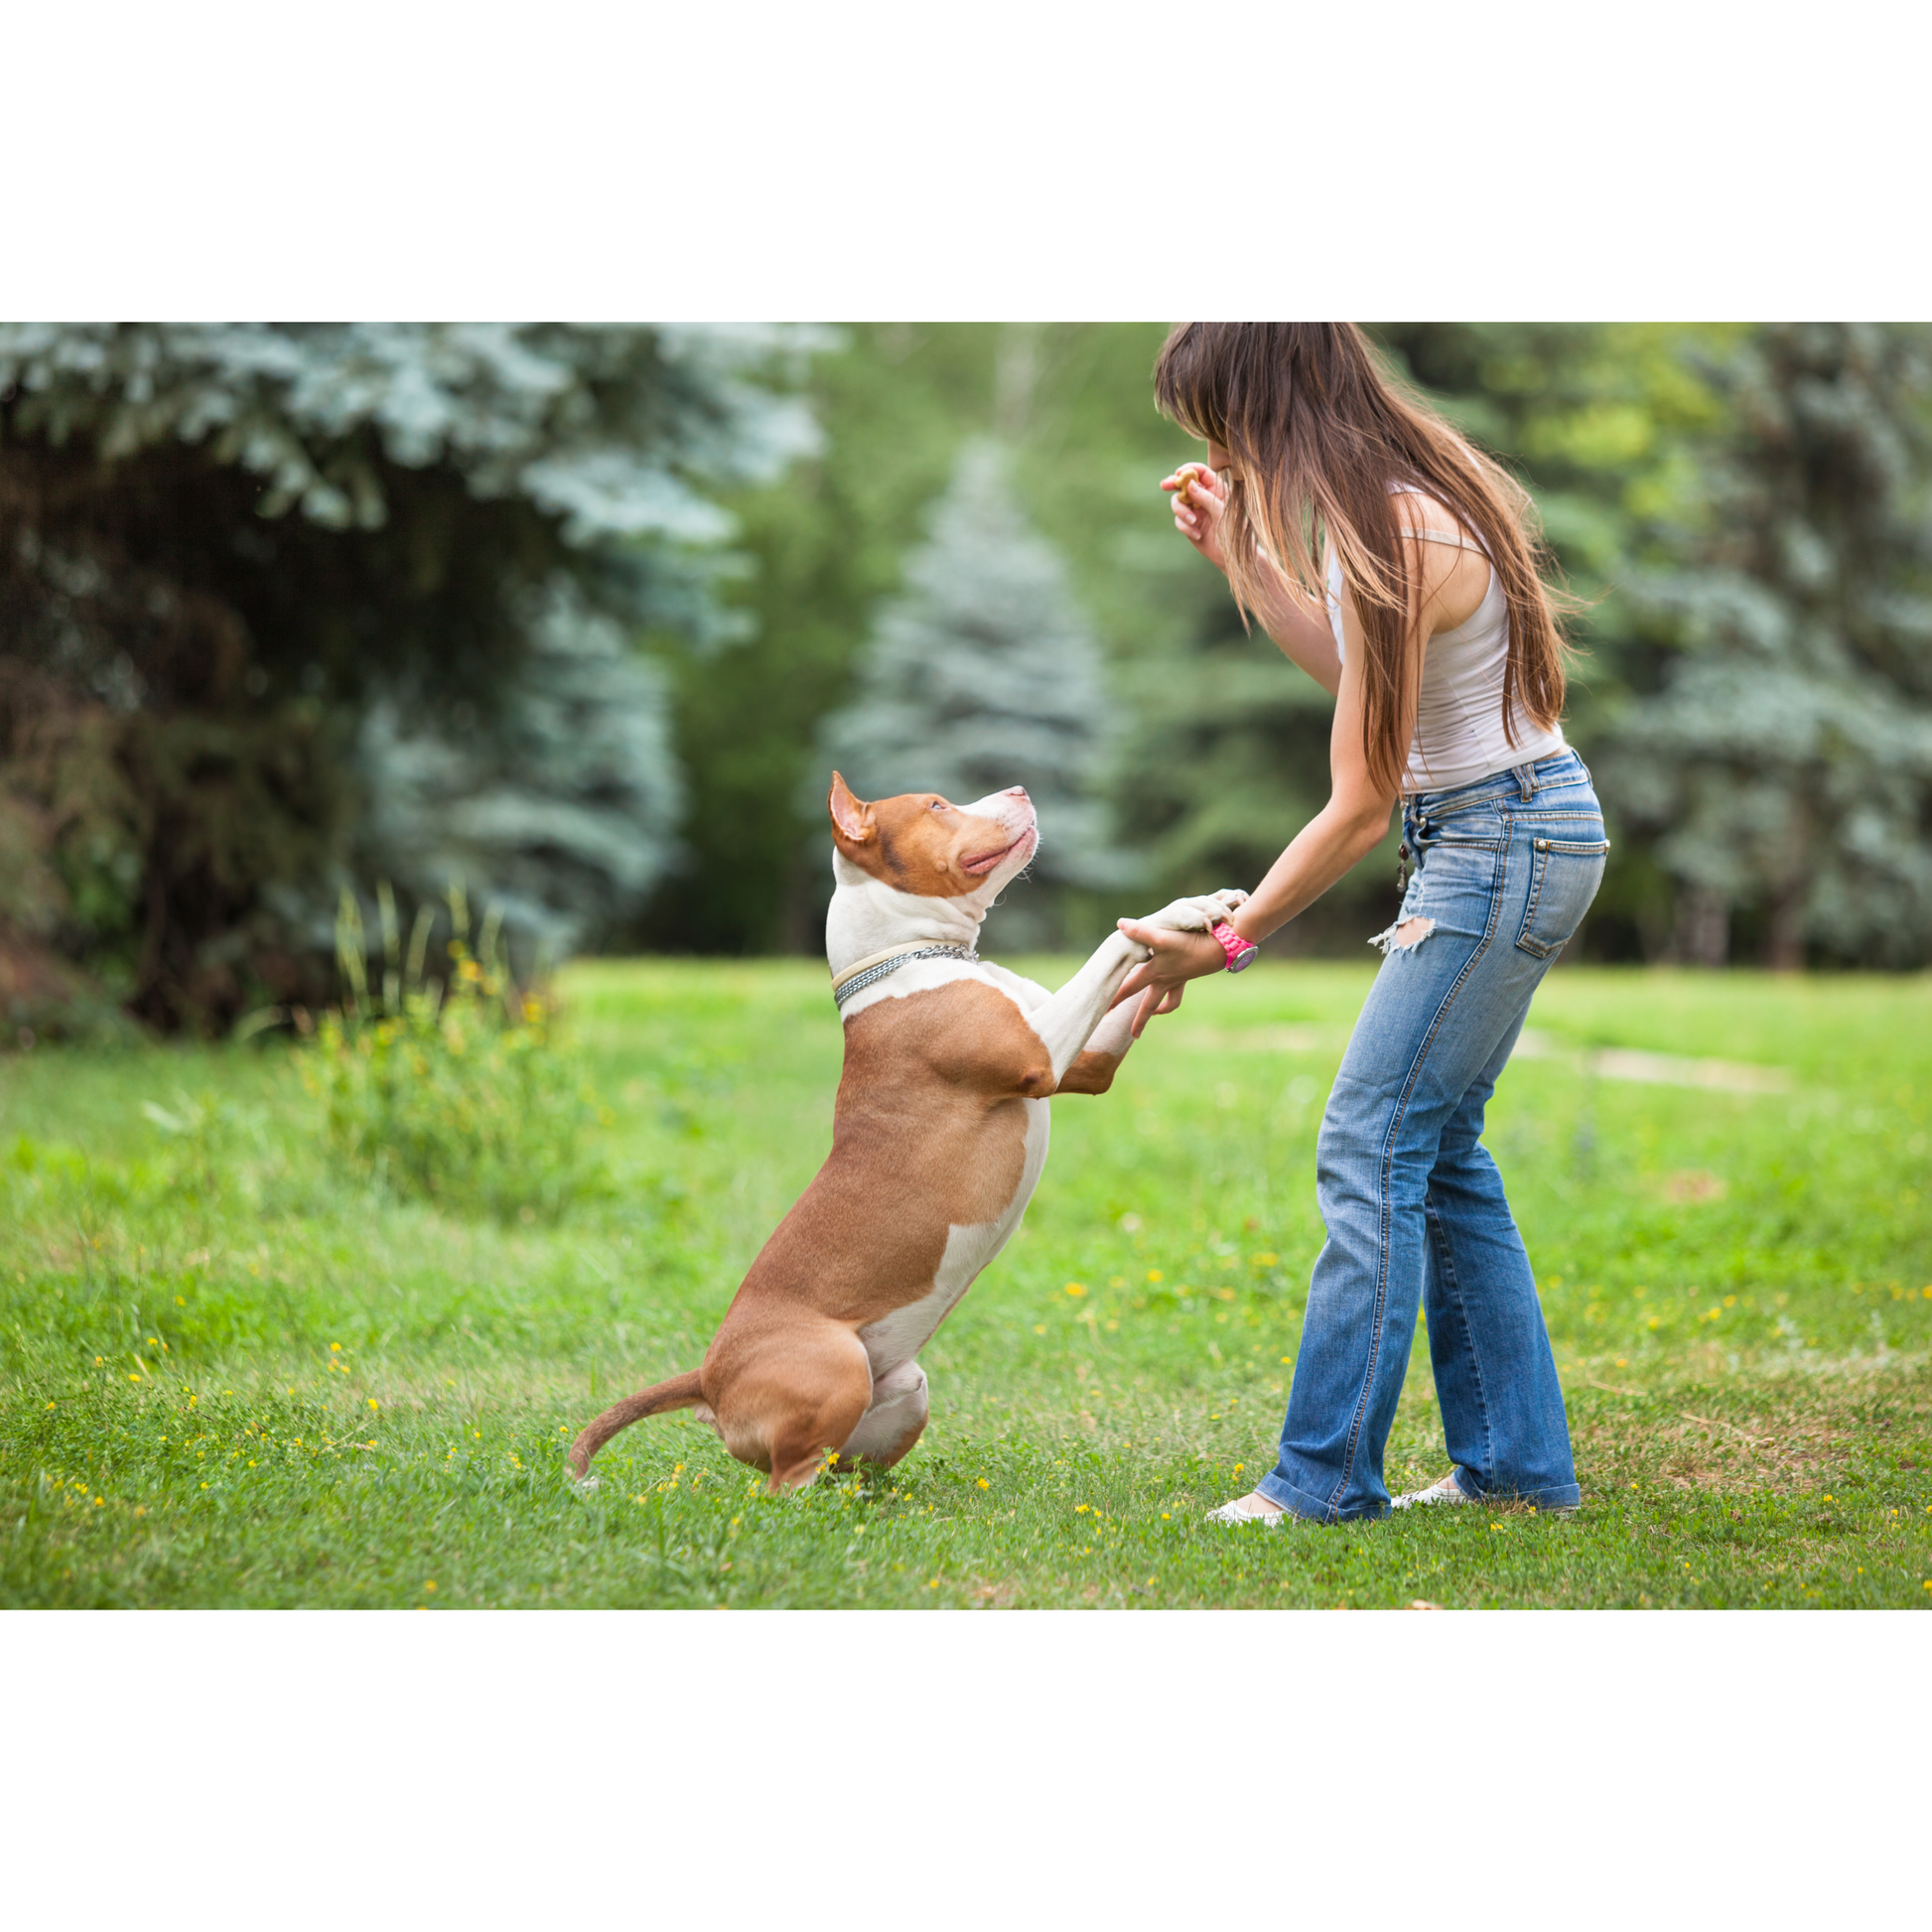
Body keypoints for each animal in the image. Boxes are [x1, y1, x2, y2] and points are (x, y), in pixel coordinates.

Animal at [564, 776, 1244, 1499]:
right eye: (938, 806)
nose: (1019, 786)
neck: (909, 955)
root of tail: (708, 1377)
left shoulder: (1088, 1062)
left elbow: (1120, 994)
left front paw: (1201, 908)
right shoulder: (1037, 1053)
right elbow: (1109, 952)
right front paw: (1182, 911)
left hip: (905, 1390)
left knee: (838, 1466)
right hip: (834, 1365)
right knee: (783, 1485)